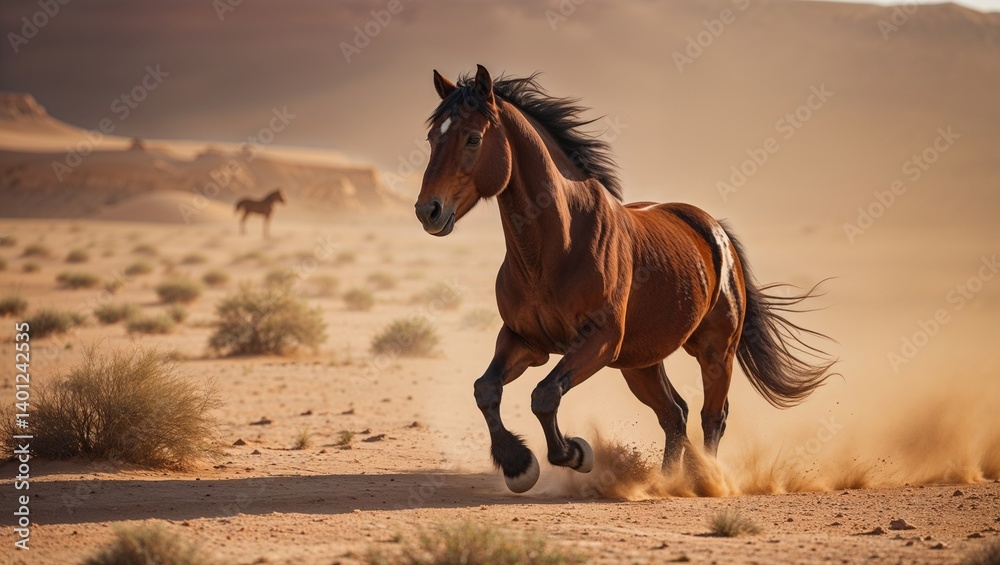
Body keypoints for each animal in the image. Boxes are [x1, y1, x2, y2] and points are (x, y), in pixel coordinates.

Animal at [414, 65, 837, 494]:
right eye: (432, 138)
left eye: (473, 137)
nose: (428, 211)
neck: (555, 249)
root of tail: (715, 231)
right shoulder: (524, 340)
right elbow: (486, 389)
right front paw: (518, 464)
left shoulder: (598, 340)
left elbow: (544, 394)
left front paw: (575, 453)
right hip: (640, 364)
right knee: (675, 414)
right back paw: (666, 481)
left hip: (715, 350)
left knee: (711, 416)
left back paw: (706, 481)